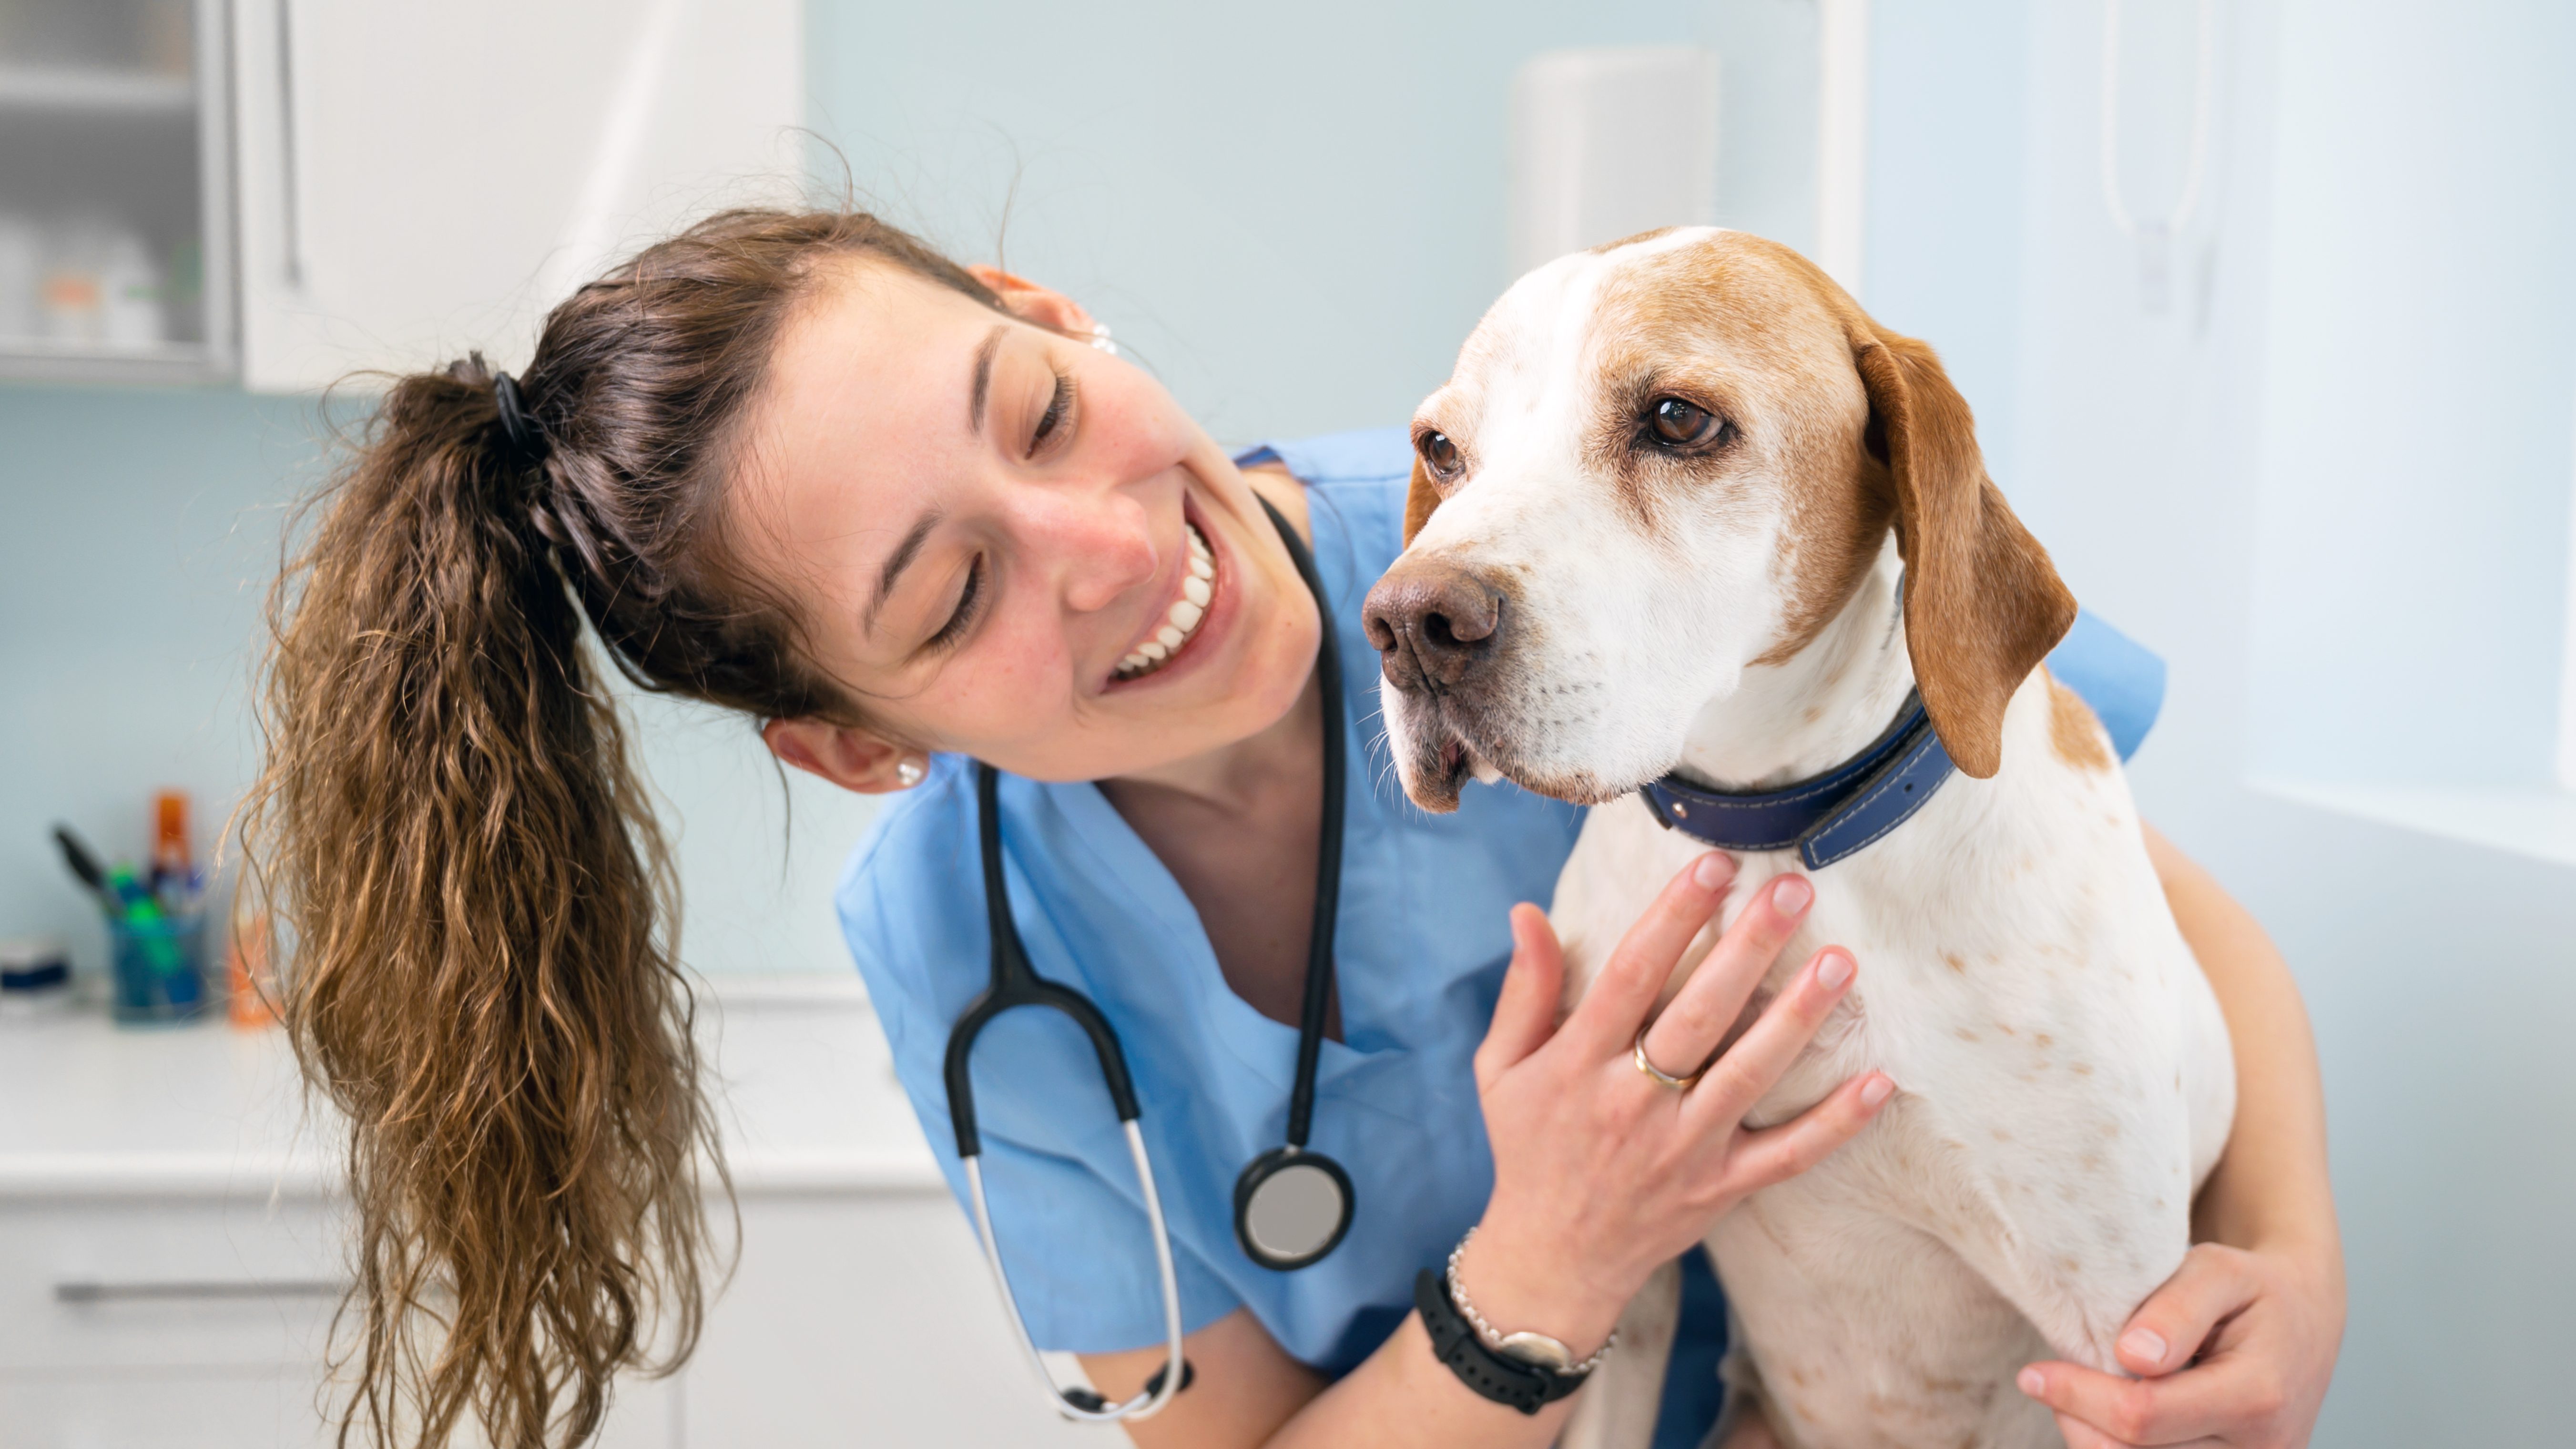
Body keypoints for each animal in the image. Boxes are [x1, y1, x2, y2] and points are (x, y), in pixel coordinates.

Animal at [1370, 228, 2236, 1444]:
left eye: (1677, 419)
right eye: (1442, 449)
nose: (1406, 624)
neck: (1778, 838)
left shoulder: (2121, 1347)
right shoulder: (1619, 1278)